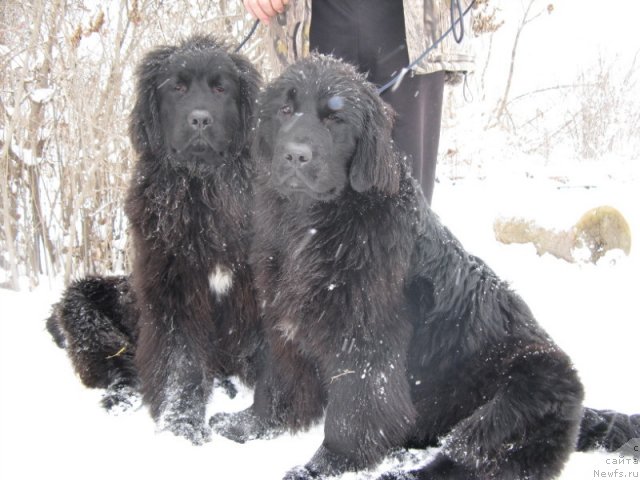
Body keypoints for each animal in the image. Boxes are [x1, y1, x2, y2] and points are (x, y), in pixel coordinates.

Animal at [45, 35, 262, 444]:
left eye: (221, 88)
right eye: (176, 88)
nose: (200, 119)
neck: (202, 191)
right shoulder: (171, 292)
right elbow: (180, 364)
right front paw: (182, 426)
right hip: (82, 311)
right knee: (121, 371)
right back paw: (120, 400)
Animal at [211, 56, 640, 480]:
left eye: (336, 118)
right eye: (285, 110)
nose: (296, 155)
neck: (313, 223)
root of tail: (582, 412)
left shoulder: (366, 338)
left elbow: (354, 411)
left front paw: (323, 466)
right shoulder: (284, 321)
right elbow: (278, 381)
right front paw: (251, 425)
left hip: (518, 395)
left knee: (467, 457)